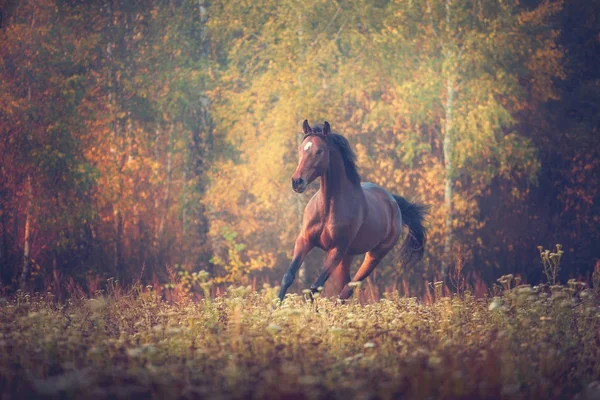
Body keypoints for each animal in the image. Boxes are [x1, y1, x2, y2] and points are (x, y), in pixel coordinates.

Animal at [278, 120, 428, 302]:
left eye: (319, 151)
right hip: (347, 257)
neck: (327, 208)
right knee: (344, 287)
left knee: (347, 290)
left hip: (373, 256)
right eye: (300, 149)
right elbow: (288, 276)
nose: (297, 182)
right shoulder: (304, 241)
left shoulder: (337, 249)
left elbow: (315, 287)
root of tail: (393, 202)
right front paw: (274, 308)